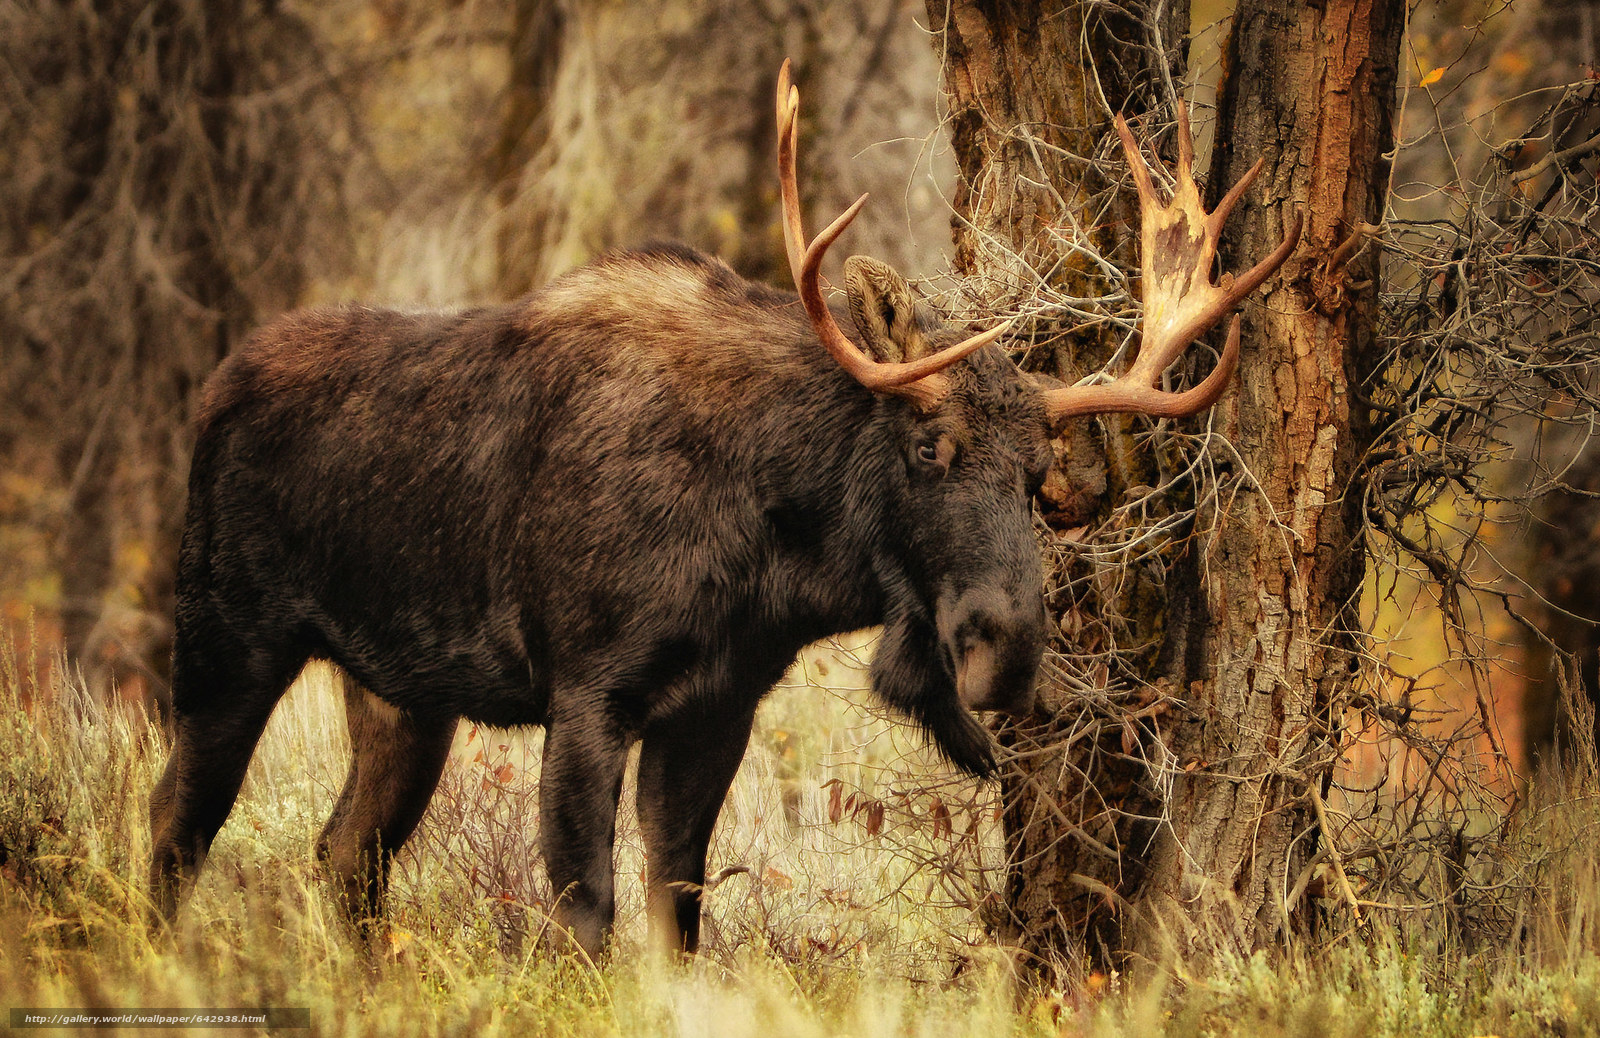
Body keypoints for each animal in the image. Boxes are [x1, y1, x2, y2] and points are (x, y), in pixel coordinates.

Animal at [147, 62, 1299, 953]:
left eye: (1035, 477)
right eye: (928, 445)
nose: (1004, 649)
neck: (771, 561)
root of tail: (209, 393)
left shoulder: (718, 702)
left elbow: (680, 910)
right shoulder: (588, 689)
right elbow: (589, 913)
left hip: (401, 696)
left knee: (344, 854)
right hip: (225, 637)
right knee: (176, 821)